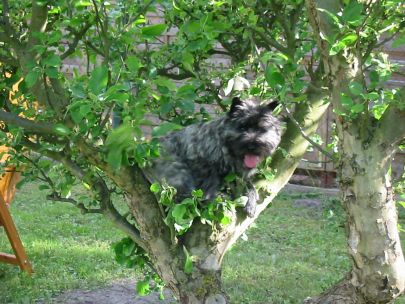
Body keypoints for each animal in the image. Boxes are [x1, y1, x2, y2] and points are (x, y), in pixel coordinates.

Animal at [145, 96, 280, 217]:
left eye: (262, 129)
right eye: (242, 127)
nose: (252, 145)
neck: (225, 148)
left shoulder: (238, 175)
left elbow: (250, 186)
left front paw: (251, 202)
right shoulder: (205, 167)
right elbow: (210, 186)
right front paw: (215, 198)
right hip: (180, 172)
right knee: (185, 199)